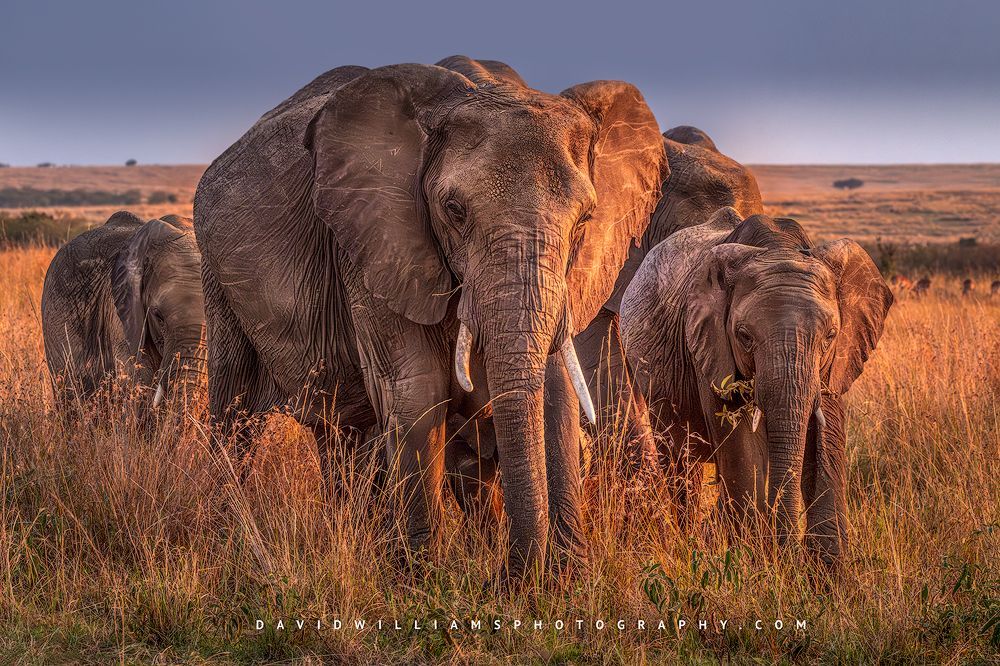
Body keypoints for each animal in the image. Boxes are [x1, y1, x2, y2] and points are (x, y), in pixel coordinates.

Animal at [193, 56, 666, 578]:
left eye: (585, 218)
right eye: (454, 211)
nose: (512, 578)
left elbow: (557, 390)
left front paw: (565, 580)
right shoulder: (374, 241)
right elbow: (416, 388)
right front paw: (421, 581)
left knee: (340, 433)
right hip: (217, 279)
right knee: (234, 412)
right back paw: (227, 545)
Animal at [619, 209, 893, 564]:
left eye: (831, 335)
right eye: (744, 336)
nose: (787, 555)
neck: (778, 249)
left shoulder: (835, 361)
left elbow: (828, 437)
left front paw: (828, 574)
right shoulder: (709, 344)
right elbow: (741, 442)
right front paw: (758, 565)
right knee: (682, 461)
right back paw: (689, 544)